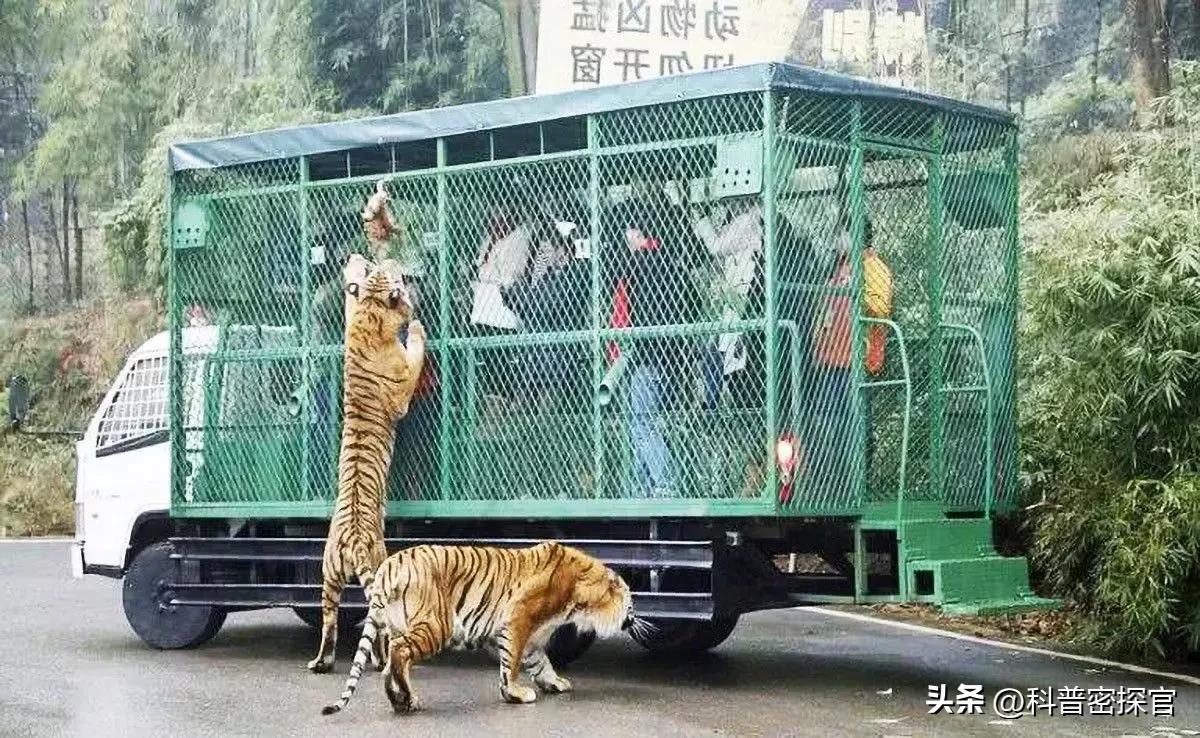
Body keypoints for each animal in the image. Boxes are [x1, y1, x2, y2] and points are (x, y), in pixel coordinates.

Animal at [307, 253, 429, 676]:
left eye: (379, 269)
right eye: (394, 275)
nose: (390, 259)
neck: (372, 311)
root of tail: (353, 542)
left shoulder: (351, 312)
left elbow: (348, 295)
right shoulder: (404, 388)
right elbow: (415, 350)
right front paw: (418, 323)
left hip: (326, 574)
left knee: (328, 621)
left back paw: (320, 663)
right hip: (378, 564)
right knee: (380, 627)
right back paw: (378, 660)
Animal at [319, 542, 638, 715]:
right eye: (631, 604)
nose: (633, 620)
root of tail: (389, 566)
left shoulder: (532, 640)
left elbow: (541, 663)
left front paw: (555, 683)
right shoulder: (518, 620)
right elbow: (511, 664)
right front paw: (515, 694)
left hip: (400, 625)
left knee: (390, 664)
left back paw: (403, 700)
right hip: (436, 624)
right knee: (399, 653)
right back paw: (406, 699)